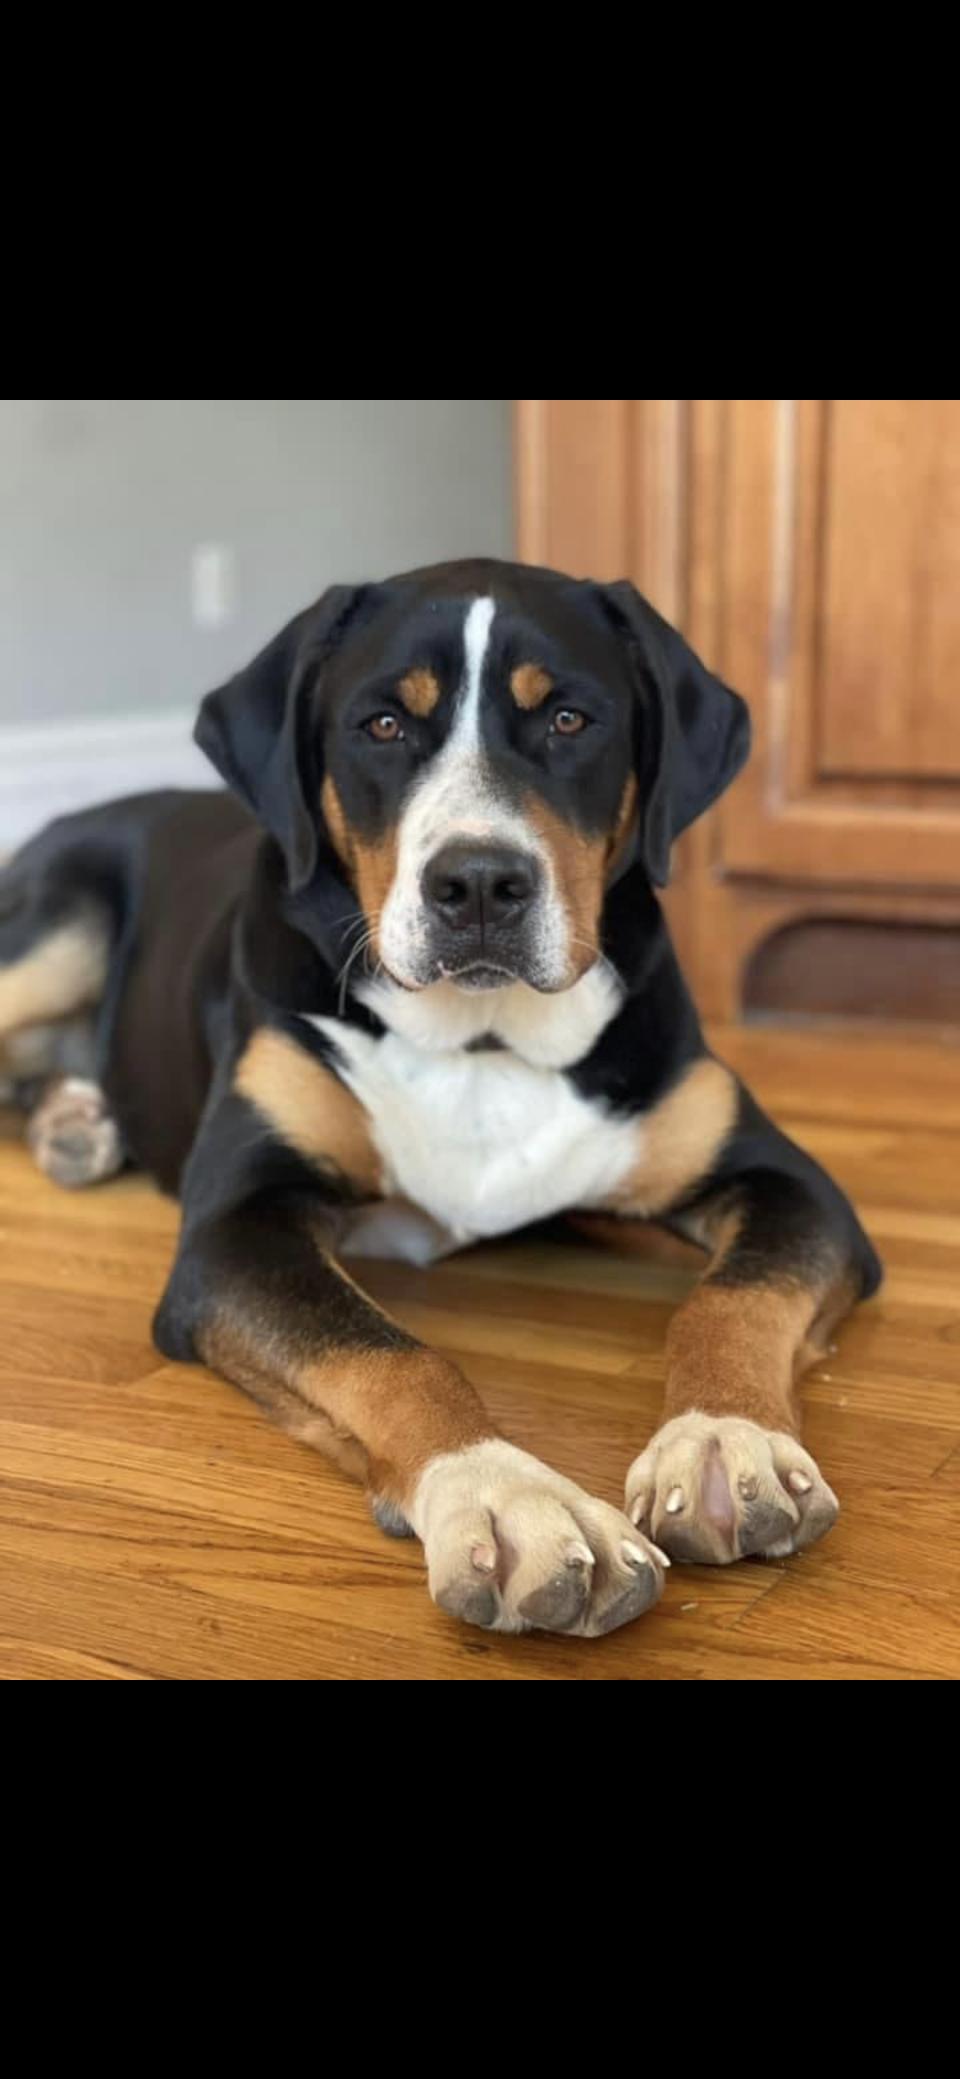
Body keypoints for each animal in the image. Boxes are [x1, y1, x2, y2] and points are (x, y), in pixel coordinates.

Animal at [0, 559, 881, 1639]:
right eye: (383, 725)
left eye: (568, 720)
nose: (479, 883)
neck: (483, 1039)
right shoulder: (238, 1225)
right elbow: (390, 1353)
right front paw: (508, 1495)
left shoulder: (784, 1179)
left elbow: (738, 1297)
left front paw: (723, 1439)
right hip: (54, 935)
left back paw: (76, 1122)